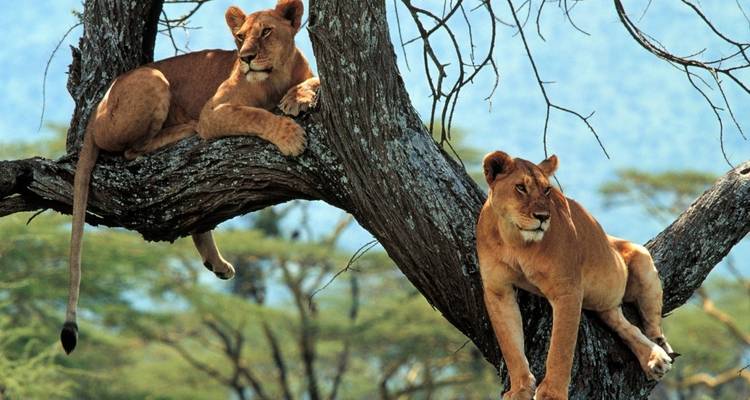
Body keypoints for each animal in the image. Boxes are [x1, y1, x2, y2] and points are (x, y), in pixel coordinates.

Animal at [62, 0, 319, 354]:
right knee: (132, 150)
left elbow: (314, 81)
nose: (245, 58)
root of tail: (95, 112)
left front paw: (298, 97)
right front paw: (290, 136)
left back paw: (216, 263)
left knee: (200, 212)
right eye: (240, 37)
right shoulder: (215, 112)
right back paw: (184, 129)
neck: (275, 77)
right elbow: (257, 115)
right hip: (153, 80)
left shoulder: (307, 75)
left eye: (267, 31)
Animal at [476, 151, 676, 400]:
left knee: (651, 322)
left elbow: (560, 348)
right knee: (624, 325)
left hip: (641, 259)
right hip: (606, 303)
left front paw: (551, 394)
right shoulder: (497, 290)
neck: (515, 240)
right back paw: (653, 357)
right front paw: (520, 389)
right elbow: (510, 345)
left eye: (547, 190)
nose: (542, 216)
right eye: (520, 187)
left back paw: (660, 349)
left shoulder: (567, 290)